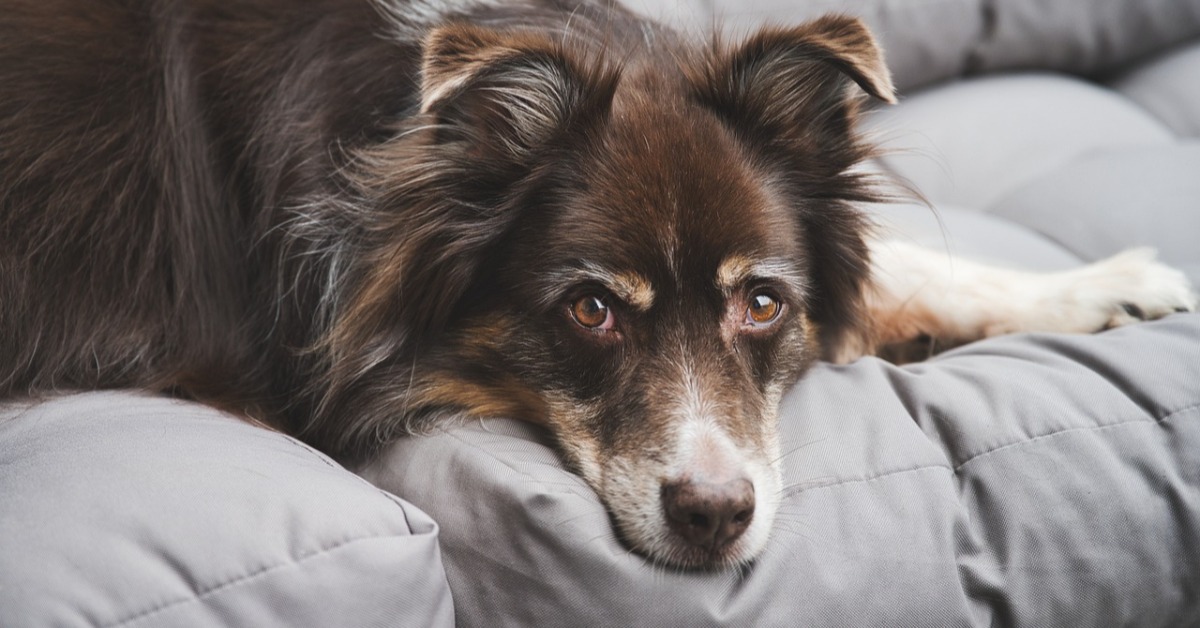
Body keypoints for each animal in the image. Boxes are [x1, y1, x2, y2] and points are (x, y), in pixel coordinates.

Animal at [2, 0, 1200, 569]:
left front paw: (1098, 287)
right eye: (590, 310)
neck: (407, 138)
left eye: (763, 302)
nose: (715, 518)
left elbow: (892, 265)